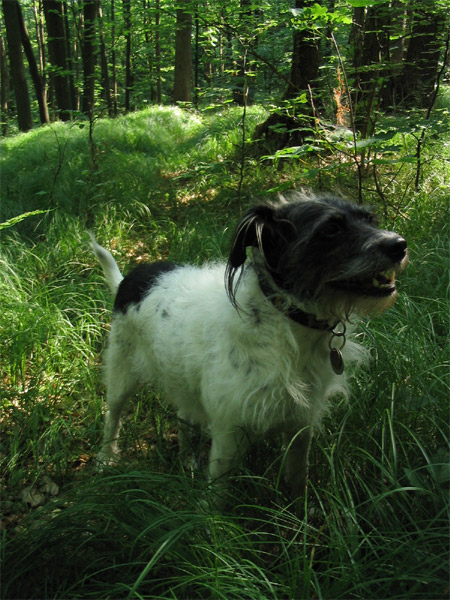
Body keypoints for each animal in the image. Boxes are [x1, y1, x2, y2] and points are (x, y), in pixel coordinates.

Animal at [89, 193, 408, 502]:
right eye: (331, 229)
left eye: (370, 219)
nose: (399, 245)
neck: (285, 319)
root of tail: (128, 280)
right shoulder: (228, 434)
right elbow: (218, 494)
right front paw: (212, 519)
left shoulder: (300, 426)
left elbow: (298, 478)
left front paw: (300, 514)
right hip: (120, 372)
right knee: (112, 417)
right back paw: (105, 459)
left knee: (184, 415)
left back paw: (187, 458)